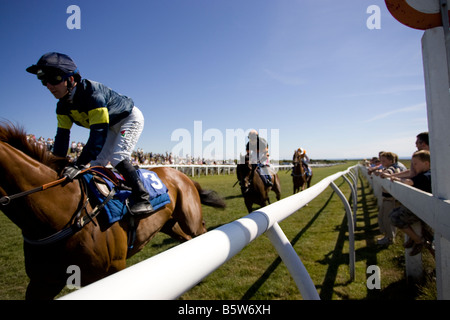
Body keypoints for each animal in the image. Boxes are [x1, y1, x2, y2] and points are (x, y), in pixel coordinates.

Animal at [0, 123, 225, 300]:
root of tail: (182, 175)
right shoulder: (43, 281)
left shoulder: (112, 270)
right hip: (169, 224)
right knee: (187, 241)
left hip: (190, 218)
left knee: (201, 233)